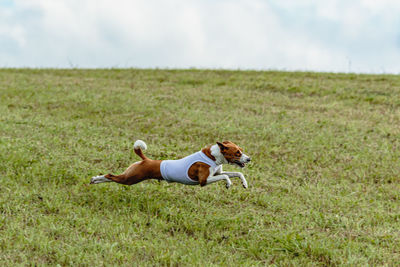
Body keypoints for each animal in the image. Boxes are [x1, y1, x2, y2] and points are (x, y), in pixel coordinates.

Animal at [90, 140, 250, 188]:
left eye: (241, 150)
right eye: (237, 153)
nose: (249, 159)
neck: (213, 157)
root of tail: (146, 160)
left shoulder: (217, 173)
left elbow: (237, 173)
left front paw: (244, 183)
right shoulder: (204, 180)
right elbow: (226, 177)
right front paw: (228, 184)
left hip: (130, 176)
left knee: (111, 177)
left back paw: (94, 180)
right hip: (131, 178)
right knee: (110, 175)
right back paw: (95, 179)